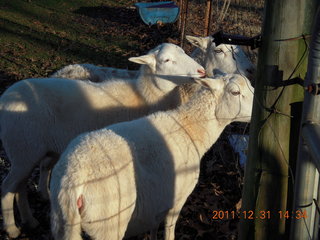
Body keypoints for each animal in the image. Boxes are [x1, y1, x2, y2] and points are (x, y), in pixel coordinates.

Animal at [0, 41, 205, 238]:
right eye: (167, 60)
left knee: (20, 186)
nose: (201, 71)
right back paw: (12, 229)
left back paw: (30, 220)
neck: (146, 95)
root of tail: (5, 98)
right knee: (7, 187)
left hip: (26, 152)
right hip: (23, 149)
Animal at [50, 73, 255, 240]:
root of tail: (73, 177)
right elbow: (169, 231)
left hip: (62, 222)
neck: (191, 128)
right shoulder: (177, 199)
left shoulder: (158, 198)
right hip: (108, 221)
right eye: (235, 92)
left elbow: (154, 225)